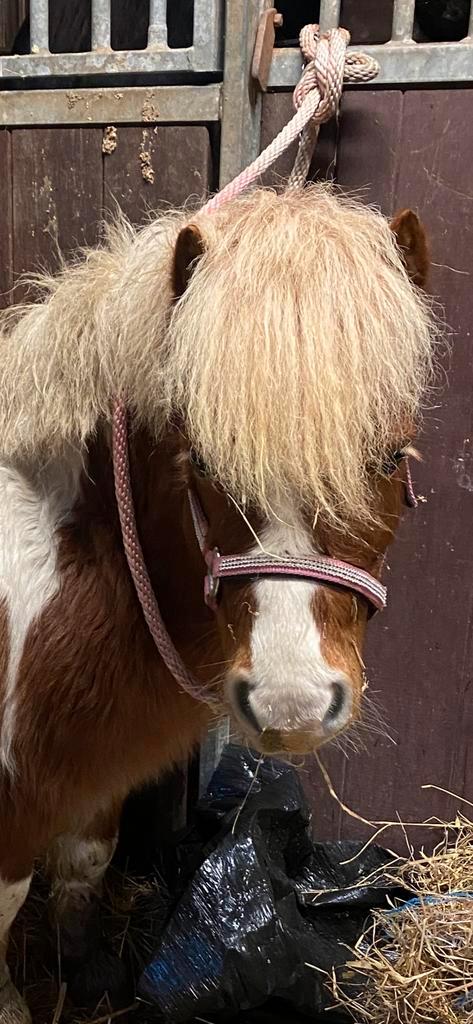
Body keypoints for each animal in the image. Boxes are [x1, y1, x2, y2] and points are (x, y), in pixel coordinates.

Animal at [0, 184, 436, 1021]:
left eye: (387, 458)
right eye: (199, 460)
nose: (292, 702)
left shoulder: (81, 785)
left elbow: (81, 876)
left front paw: (83, 981)